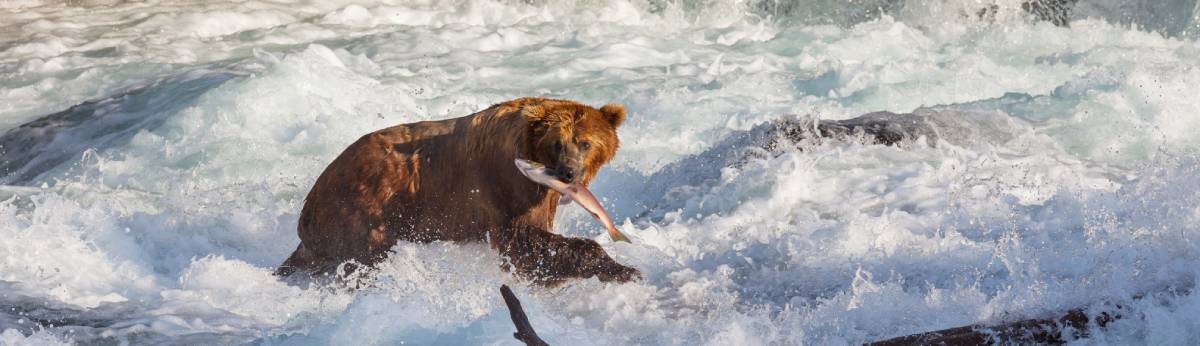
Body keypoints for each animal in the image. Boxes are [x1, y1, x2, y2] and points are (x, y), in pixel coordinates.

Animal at [277, 96, 643, 283]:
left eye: (584, 142)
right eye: (557, 142)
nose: (568, 172)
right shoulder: (507, 186)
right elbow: (522, 240)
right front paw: (622, 268)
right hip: (363, 209)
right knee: (363, 255)